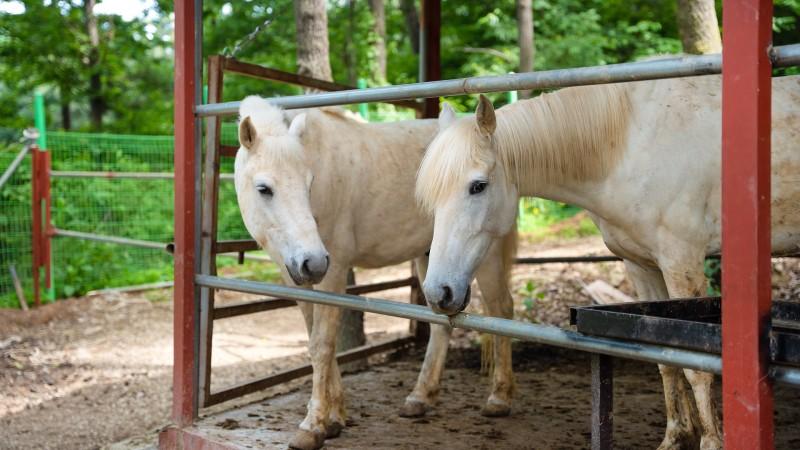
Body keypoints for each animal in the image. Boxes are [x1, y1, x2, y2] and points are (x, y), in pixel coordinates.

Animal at [233, 96, 520, 450]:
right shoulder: (294, 278)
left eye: (309, 185)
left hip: (485, 255)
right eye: (264, 188)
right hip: (433, 260)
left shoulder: (334, 271)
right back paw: (420, 397)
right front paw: (335, 417)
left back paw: (499, 398)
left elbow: (323, 345)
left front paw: (313, 426)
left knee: (501, 309)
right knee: (442, 323)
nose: (313, 261)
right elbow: (317, 341)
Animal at [416, 75, 800, 448]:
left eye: (477, 186)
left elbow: (697, 365)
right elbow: (664, 358)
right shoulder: (641, 266)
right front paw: (675, 437)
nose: (437, 292)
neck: (626, 146)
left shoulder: (682, 261)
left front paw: (709, 441)